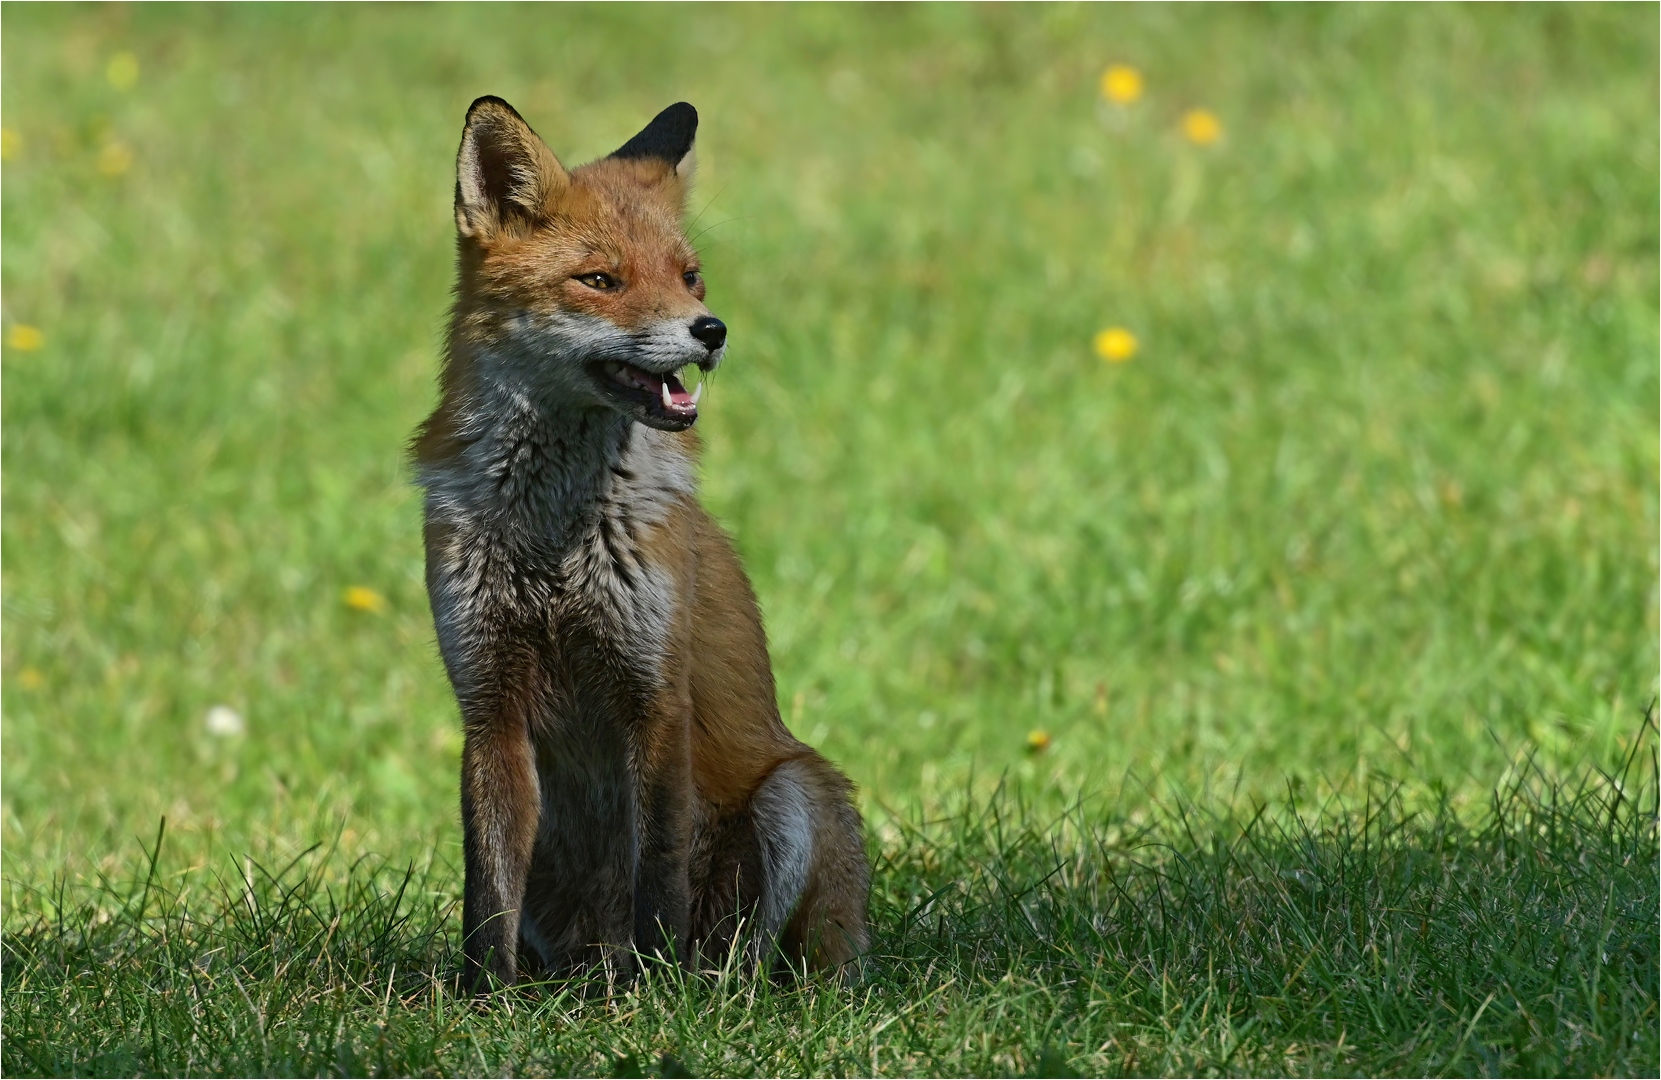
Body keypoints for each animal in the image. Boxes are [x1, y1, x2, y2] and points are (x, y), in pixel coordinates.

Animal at [413, 96, 870, 990]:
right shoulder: (488, 700)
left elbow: (656, 872)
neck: (552, 540)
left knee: (752, 956)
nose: (711, 330)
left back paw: (700, 988)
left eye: (688, 275)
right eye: (600, 280)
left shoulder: (652, 694)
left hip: (794, 796)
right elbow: (487, 890)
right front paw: (484, 1001)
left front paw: (657, 995)